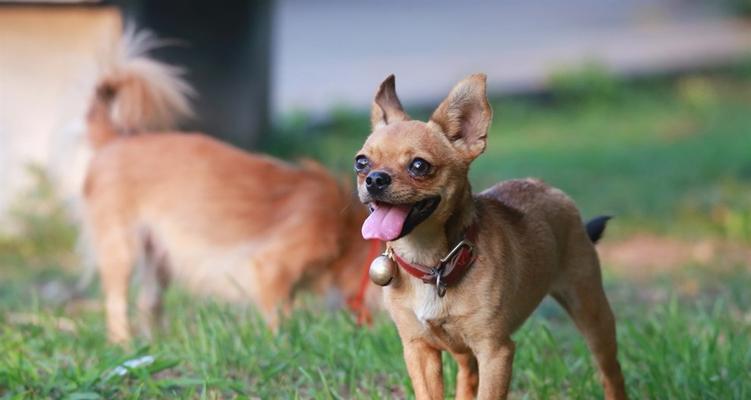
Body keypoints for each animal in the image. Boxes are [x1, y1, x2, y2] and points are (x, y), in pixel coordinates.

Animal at [83, 32, 378, 344]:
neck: (345, 231)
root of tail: (113, 140)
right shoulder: (272, 268)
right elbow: (278, 317)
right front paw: (281, 344)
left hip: (158, 255)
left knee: (149, 300)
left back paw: (156, 342)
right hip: (122, 248)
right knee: (117, 302)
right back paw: (123, 344)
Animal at [356, 76, 624, 400]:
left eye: (419, 166)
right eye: (361, 163)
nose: (375, 179)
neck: (432, 264)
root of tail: (548, 188)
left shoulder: (495, 352)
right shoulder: (418, 349)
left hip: (593, 316)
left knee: (611, 373)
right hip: (462, 349)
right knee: (467, 376)